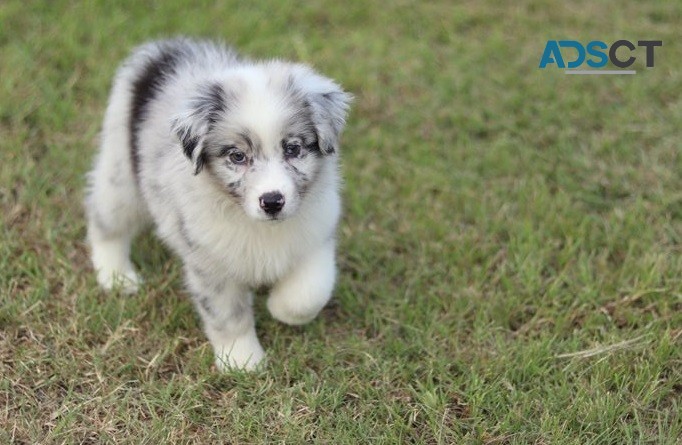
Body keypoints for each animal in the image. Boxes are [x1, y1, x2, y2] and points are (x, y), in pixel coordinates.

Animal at [85, 38, 350, 370]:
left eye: (293, 149)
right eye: (237, 156)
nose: (272, 202)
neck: (258, 226)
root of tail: (166, 47)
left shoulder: (316, 236)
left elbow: (310, 291)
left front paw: (281, 309)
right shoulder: (210, 262)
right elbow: (228, 315)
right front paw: (243, 362)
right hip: (120, 172)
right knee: (105, 222)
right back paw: (117, 276)